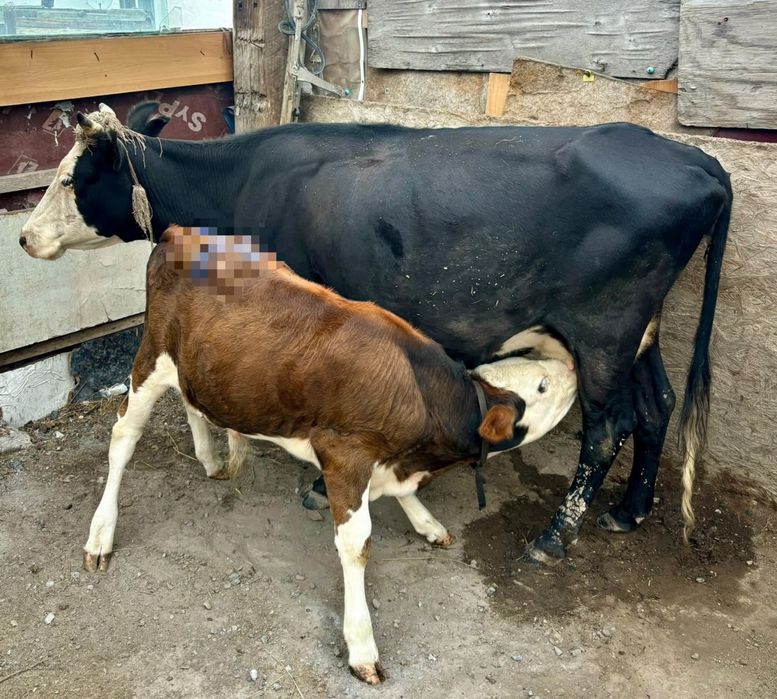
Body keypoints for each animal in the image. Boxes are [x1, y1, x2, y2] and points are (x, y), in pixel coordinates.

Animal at [20, 103, 732, 562]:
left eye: (69, 178)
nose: (24, 237)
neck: (241, 184)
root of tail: (694, 159)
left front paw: (310, 481)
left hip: (604, 332)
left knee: (609, 425)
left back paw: (555, 537)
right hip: (641, 335)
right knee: (658, 405)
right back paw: (628, 511)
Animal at [84, 225, 578, 683]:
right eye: (541, 385)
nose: (572, 367)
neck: (419, 395)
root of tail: (180, 232)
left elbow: (404, 499)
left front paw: (427, 523)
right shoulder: (345, 455)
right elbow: (356, 546)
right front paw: (362, 647)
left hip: (200, 365)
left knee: (192, 401)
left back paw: (209, 458)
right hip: (151, 357)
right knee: (124, 436)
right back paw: (100, 535)